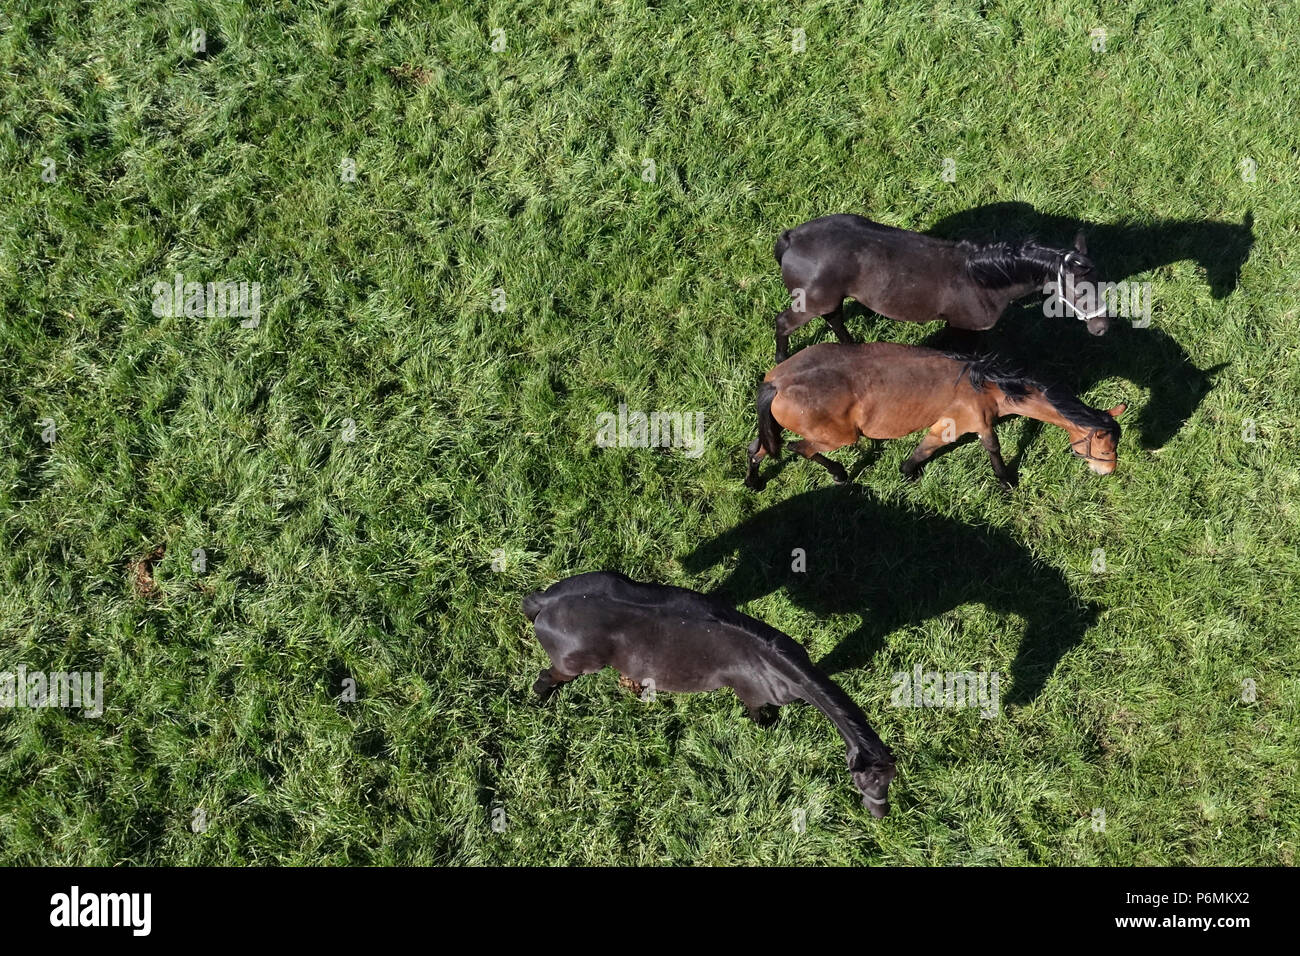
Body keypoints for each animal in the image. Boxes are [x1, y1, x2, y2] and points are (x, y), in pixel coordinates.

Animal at [522, 572, 899, 816]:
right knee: (545, 678)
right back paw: (543, 699)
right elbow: (758, 717)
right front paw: (768, 729)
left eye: (890, 779)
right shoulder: (753, 698)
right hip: (573, 666)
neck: (775, 665)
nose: (881, 815)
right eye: (866, 781)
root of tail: (546, 600)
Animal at [748, 343, 1123, 489]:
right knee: (799, 449)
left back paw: (753, 482)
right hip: (838, 437)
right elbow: (994, 450)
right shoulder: (973, 424)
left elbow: (922, 450)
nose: (1107, 471)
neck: (989, 384)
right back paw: (839, 474)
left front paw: (908, 472)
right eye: (1106, 448)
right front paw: (1006, 481)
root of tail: (777, 382)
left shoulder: (943, 425)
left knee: (757, 449)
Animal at [769, 214, 1107, 361]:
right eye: (1080, 292)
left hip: (830, 300)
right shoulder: (964, 327)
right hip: (809, 304)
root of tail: (792, 238)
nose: (1102, 328)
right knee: (783, 323)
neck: (983, 280)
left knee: (835, 319)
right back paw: (782, 360)